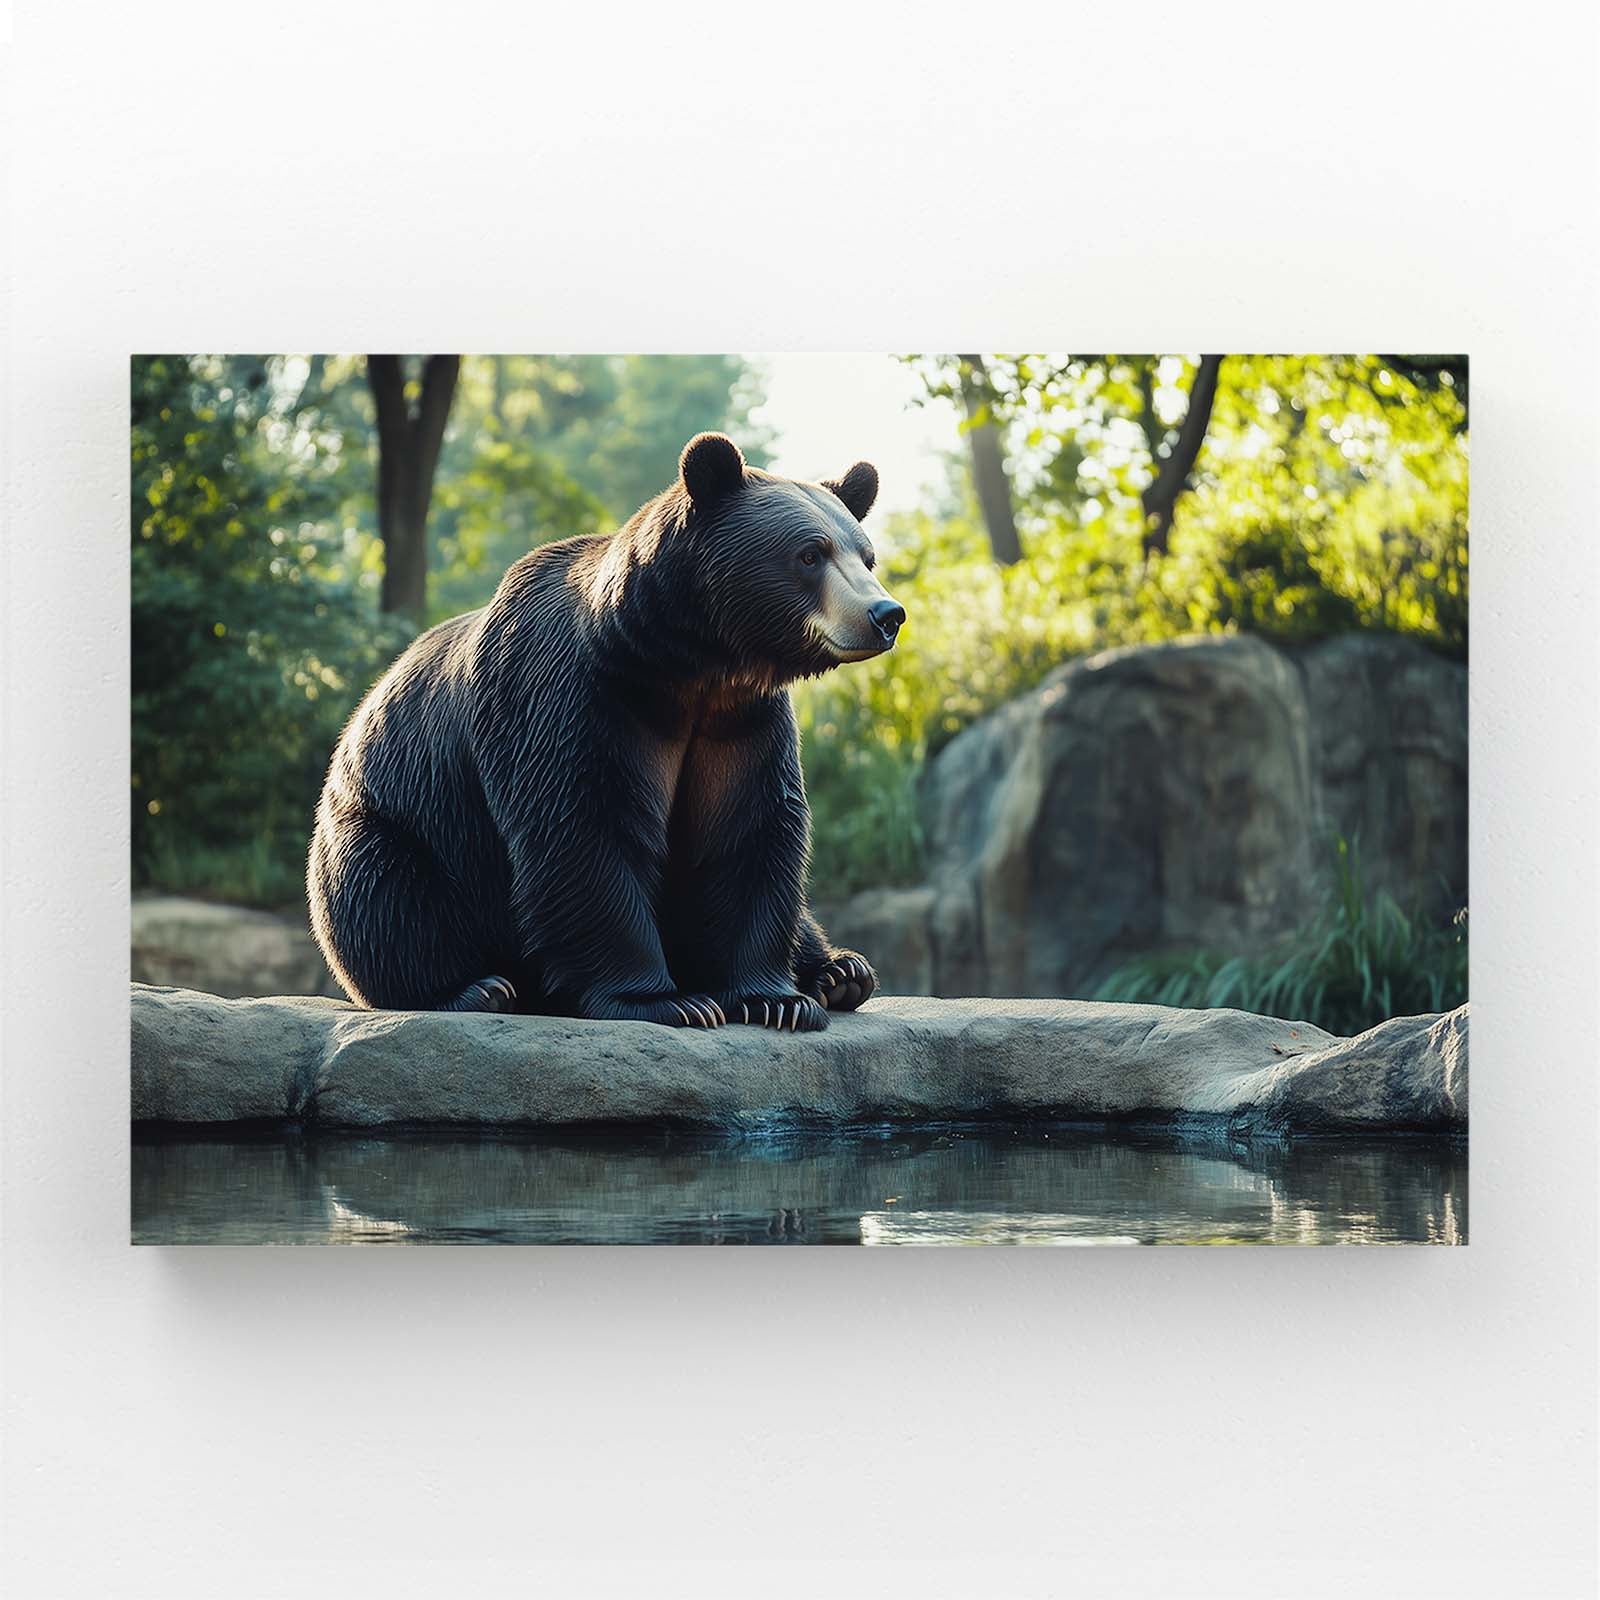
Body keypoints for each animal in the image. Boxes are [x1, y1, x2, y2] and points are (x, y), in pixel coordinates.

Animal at [306, 431, 905, 1031]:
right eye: (810, 554)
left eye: (865, 555)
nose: (886, 614)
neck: (685, 666)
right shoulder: (569, 698)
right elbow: (584, 828)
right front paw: (671, 1001)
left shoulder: (742, 721)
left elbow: (748, 829)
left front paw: (778, 999)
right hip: (401, 823)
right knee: (389, 898)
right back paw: (476, 988)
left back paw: (839, 971)